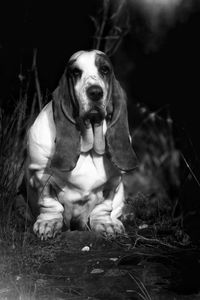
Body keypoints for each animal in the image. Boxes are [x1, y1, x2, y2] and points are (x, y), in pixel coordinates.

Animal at [26, 50, 138, 240]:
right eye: (76, 72)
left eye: (105, 70)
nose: (95, 92)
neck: (89, 148)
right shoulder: (40, 174)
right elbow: (49, 203)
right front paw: (48, 224)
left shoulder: (113, 182)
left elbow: (104, 206)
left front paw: (106, 224)